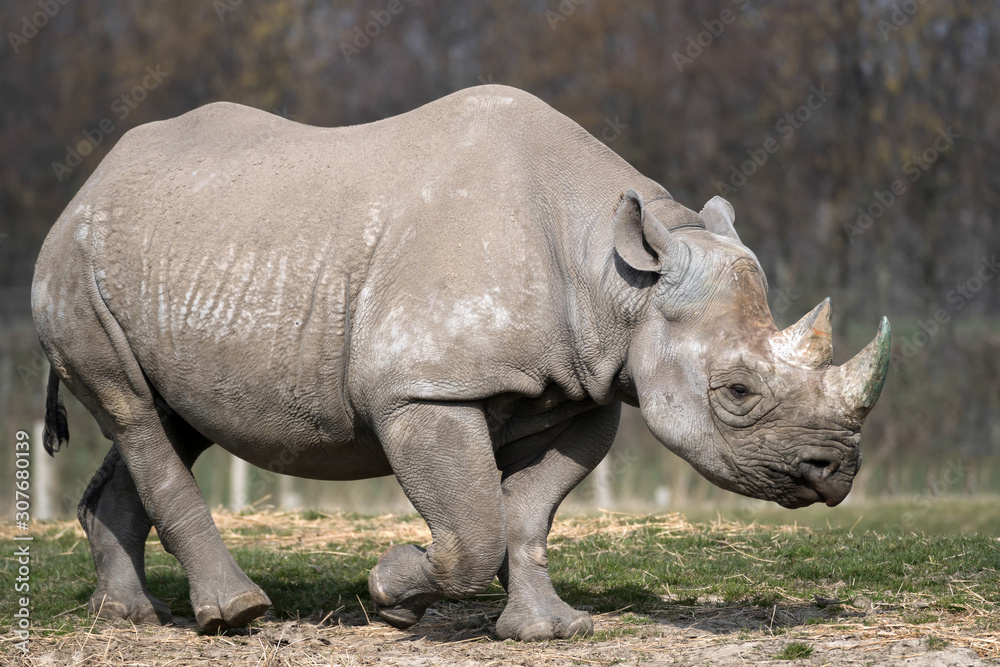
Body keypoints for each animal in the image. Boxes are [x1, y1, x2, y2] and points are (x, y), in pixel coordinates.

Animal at [32, 85, 889, 641]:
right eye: (737, 390)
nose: (836, 472)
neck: (618, 279)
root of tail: (87, 184)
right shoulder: (423, 390)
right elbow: (476, 528)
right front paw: (392, 592)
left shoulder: (586, 387)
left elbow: (526, 513)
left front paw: (551, 630)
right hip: (75, 264)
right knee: (135, 410)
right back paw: (237, 615)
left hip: (178, 250)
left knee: (171, 417)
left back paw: (131, 616)